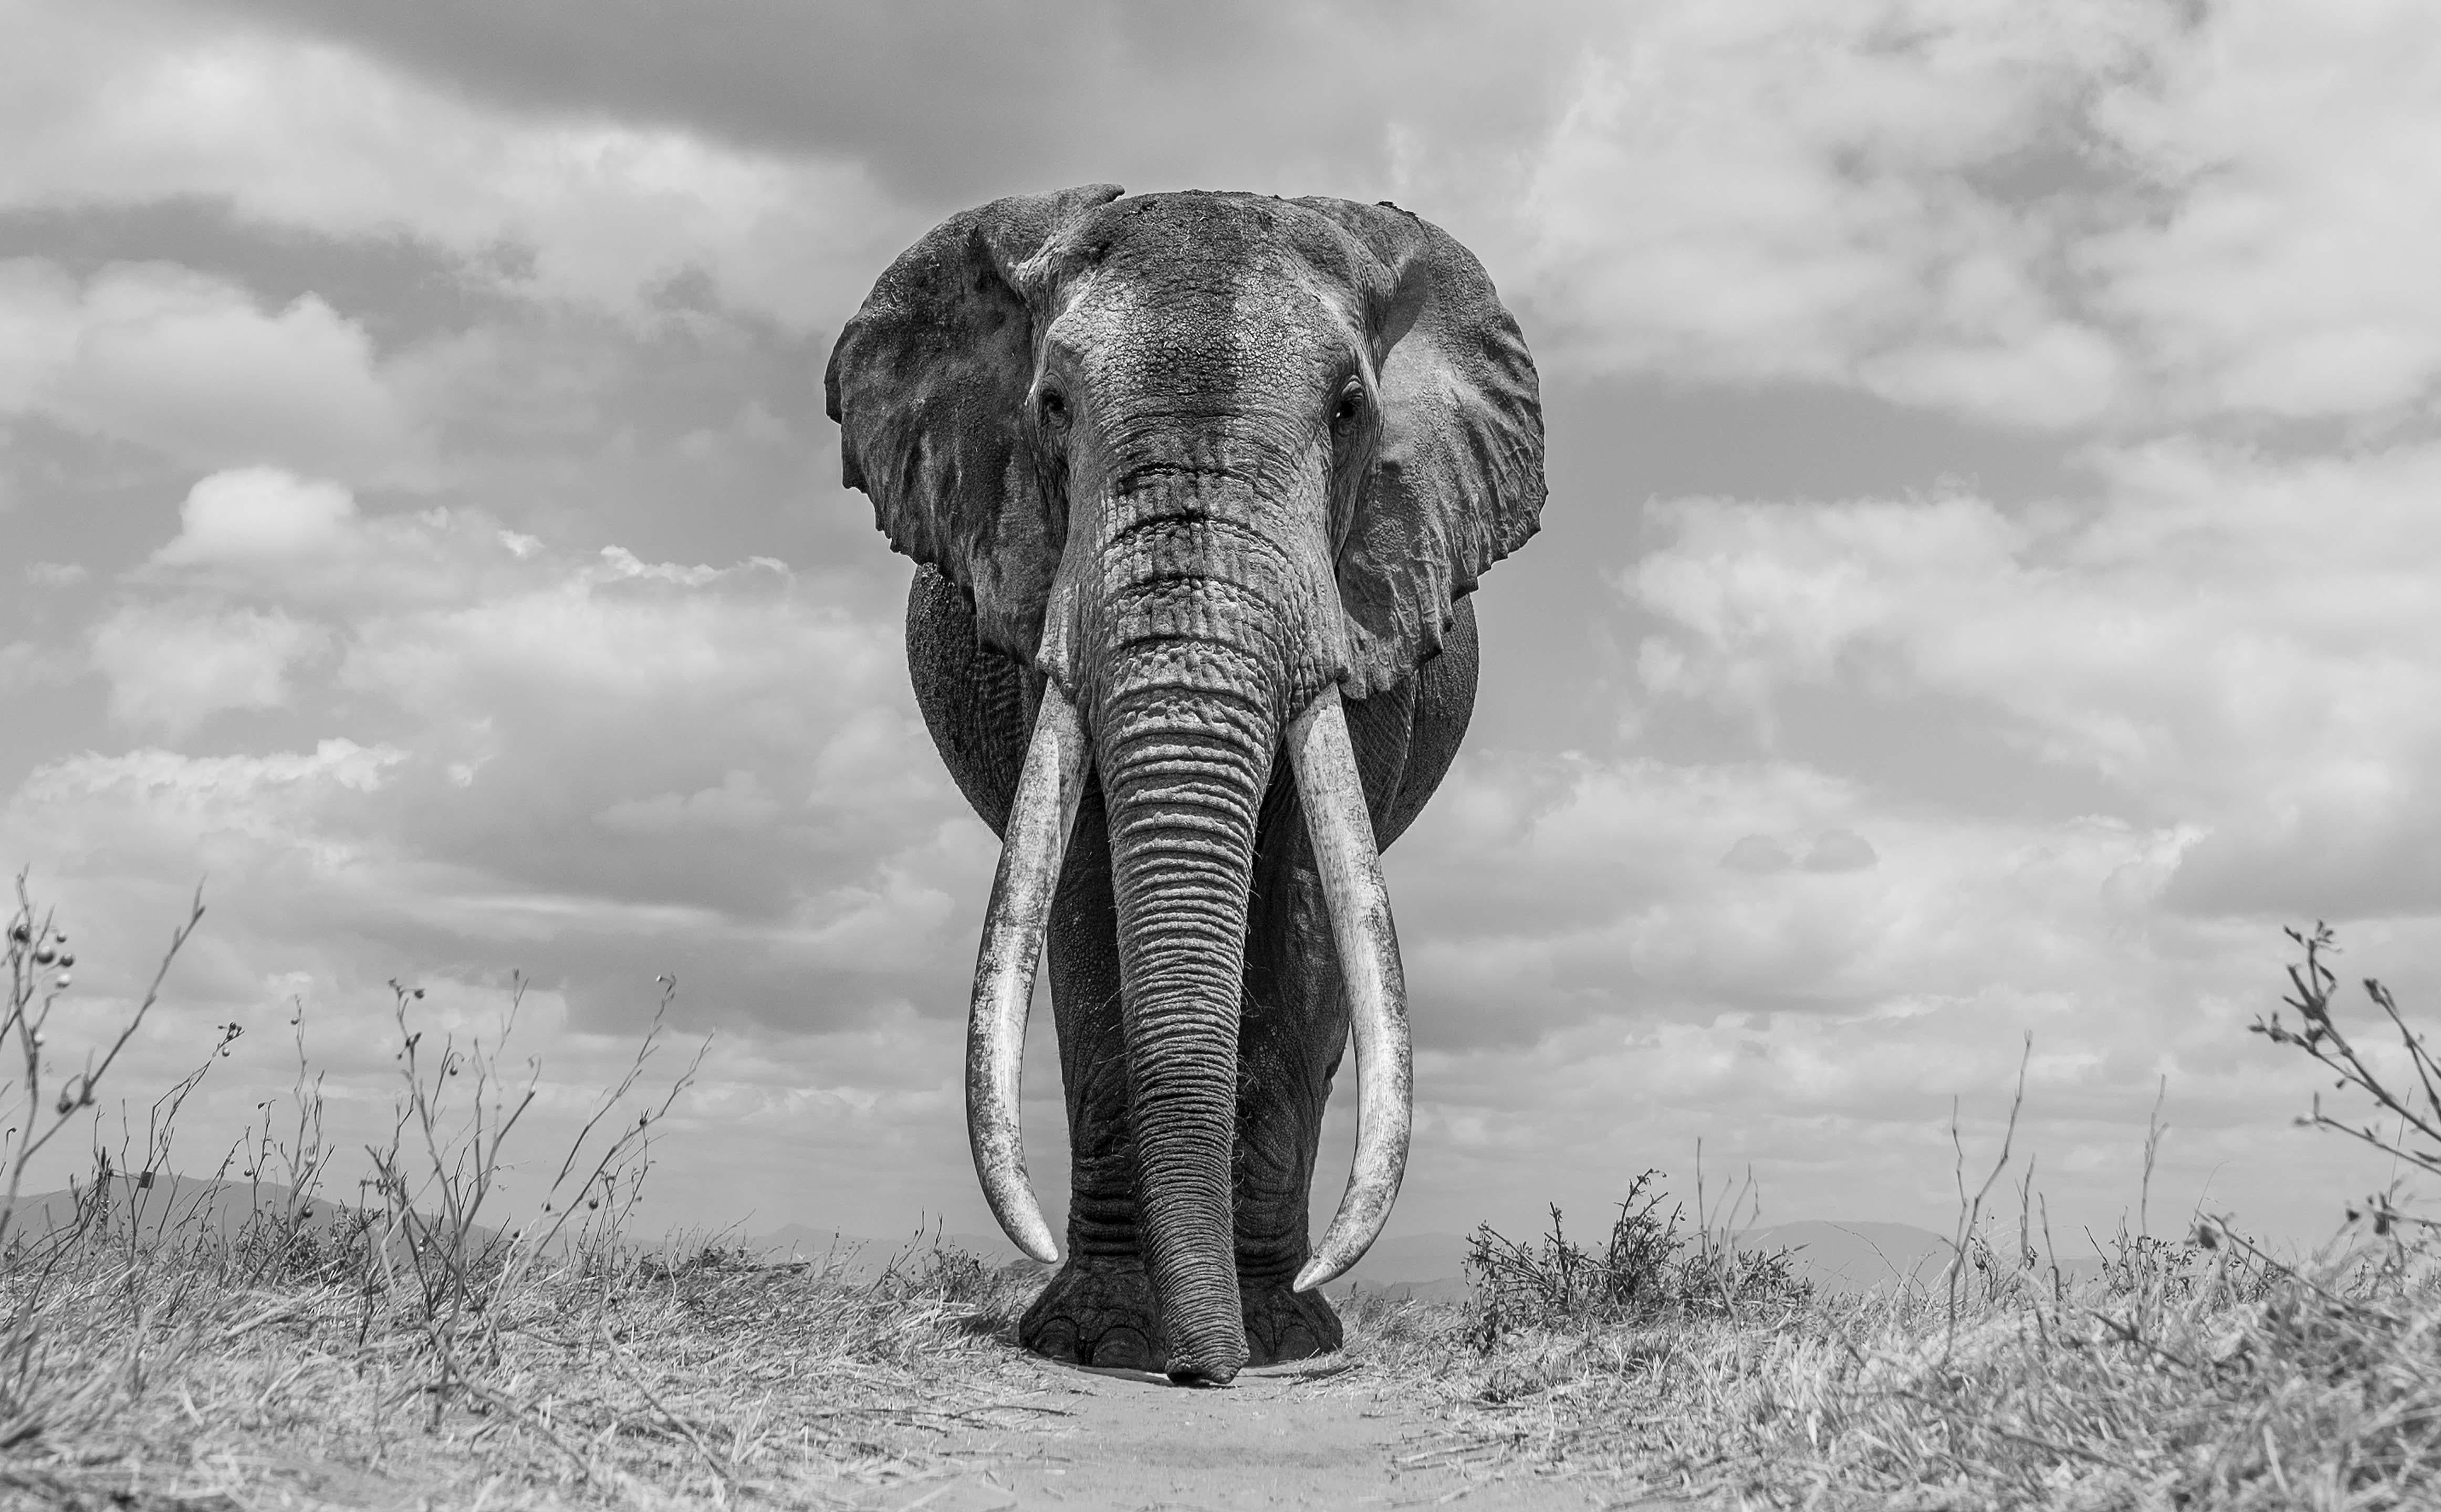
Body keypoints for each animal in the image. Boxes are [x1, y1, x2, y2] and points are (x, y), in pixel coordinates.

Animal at [825, 186, 1542, 1385]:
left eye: (1349, 408)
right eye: (1051, 406)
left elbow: (1302, 912)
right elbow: (1084, 904)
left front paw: (1282, 1340)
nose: (1199, 1372)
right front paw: (1100, 1341)